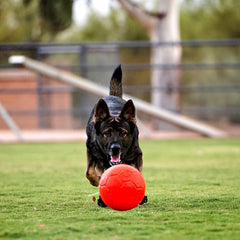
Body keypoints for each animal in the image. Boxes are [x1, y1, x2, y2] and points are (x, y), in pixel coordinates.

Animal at [85, 64, 147, 207]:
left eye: (123, 133)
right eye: (107, 133)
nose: (115, 148)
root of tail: (112, 96)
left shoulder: (137, 154)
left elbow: (138, 172)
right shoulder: (90, 151)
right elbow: (89, 172)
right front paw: (97, 181)